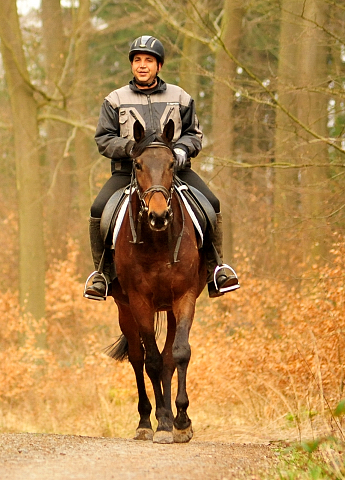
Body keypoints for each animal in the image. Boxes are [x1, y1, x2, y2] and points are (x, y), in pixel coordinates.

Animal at [106, 119, 206, 442]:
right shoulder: (140, 302)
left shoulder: (184, 298)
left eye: (172, 163)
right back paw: (145, 422)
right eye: (137, 164)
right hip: (125, 309)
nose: (159, 216)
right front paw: (162, 421)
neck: (158, 241)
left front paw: (182, 421)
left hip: (170, 309)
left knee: (169, 357)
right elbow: (151, 361)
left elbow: (179, 354)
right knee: (139, 359)